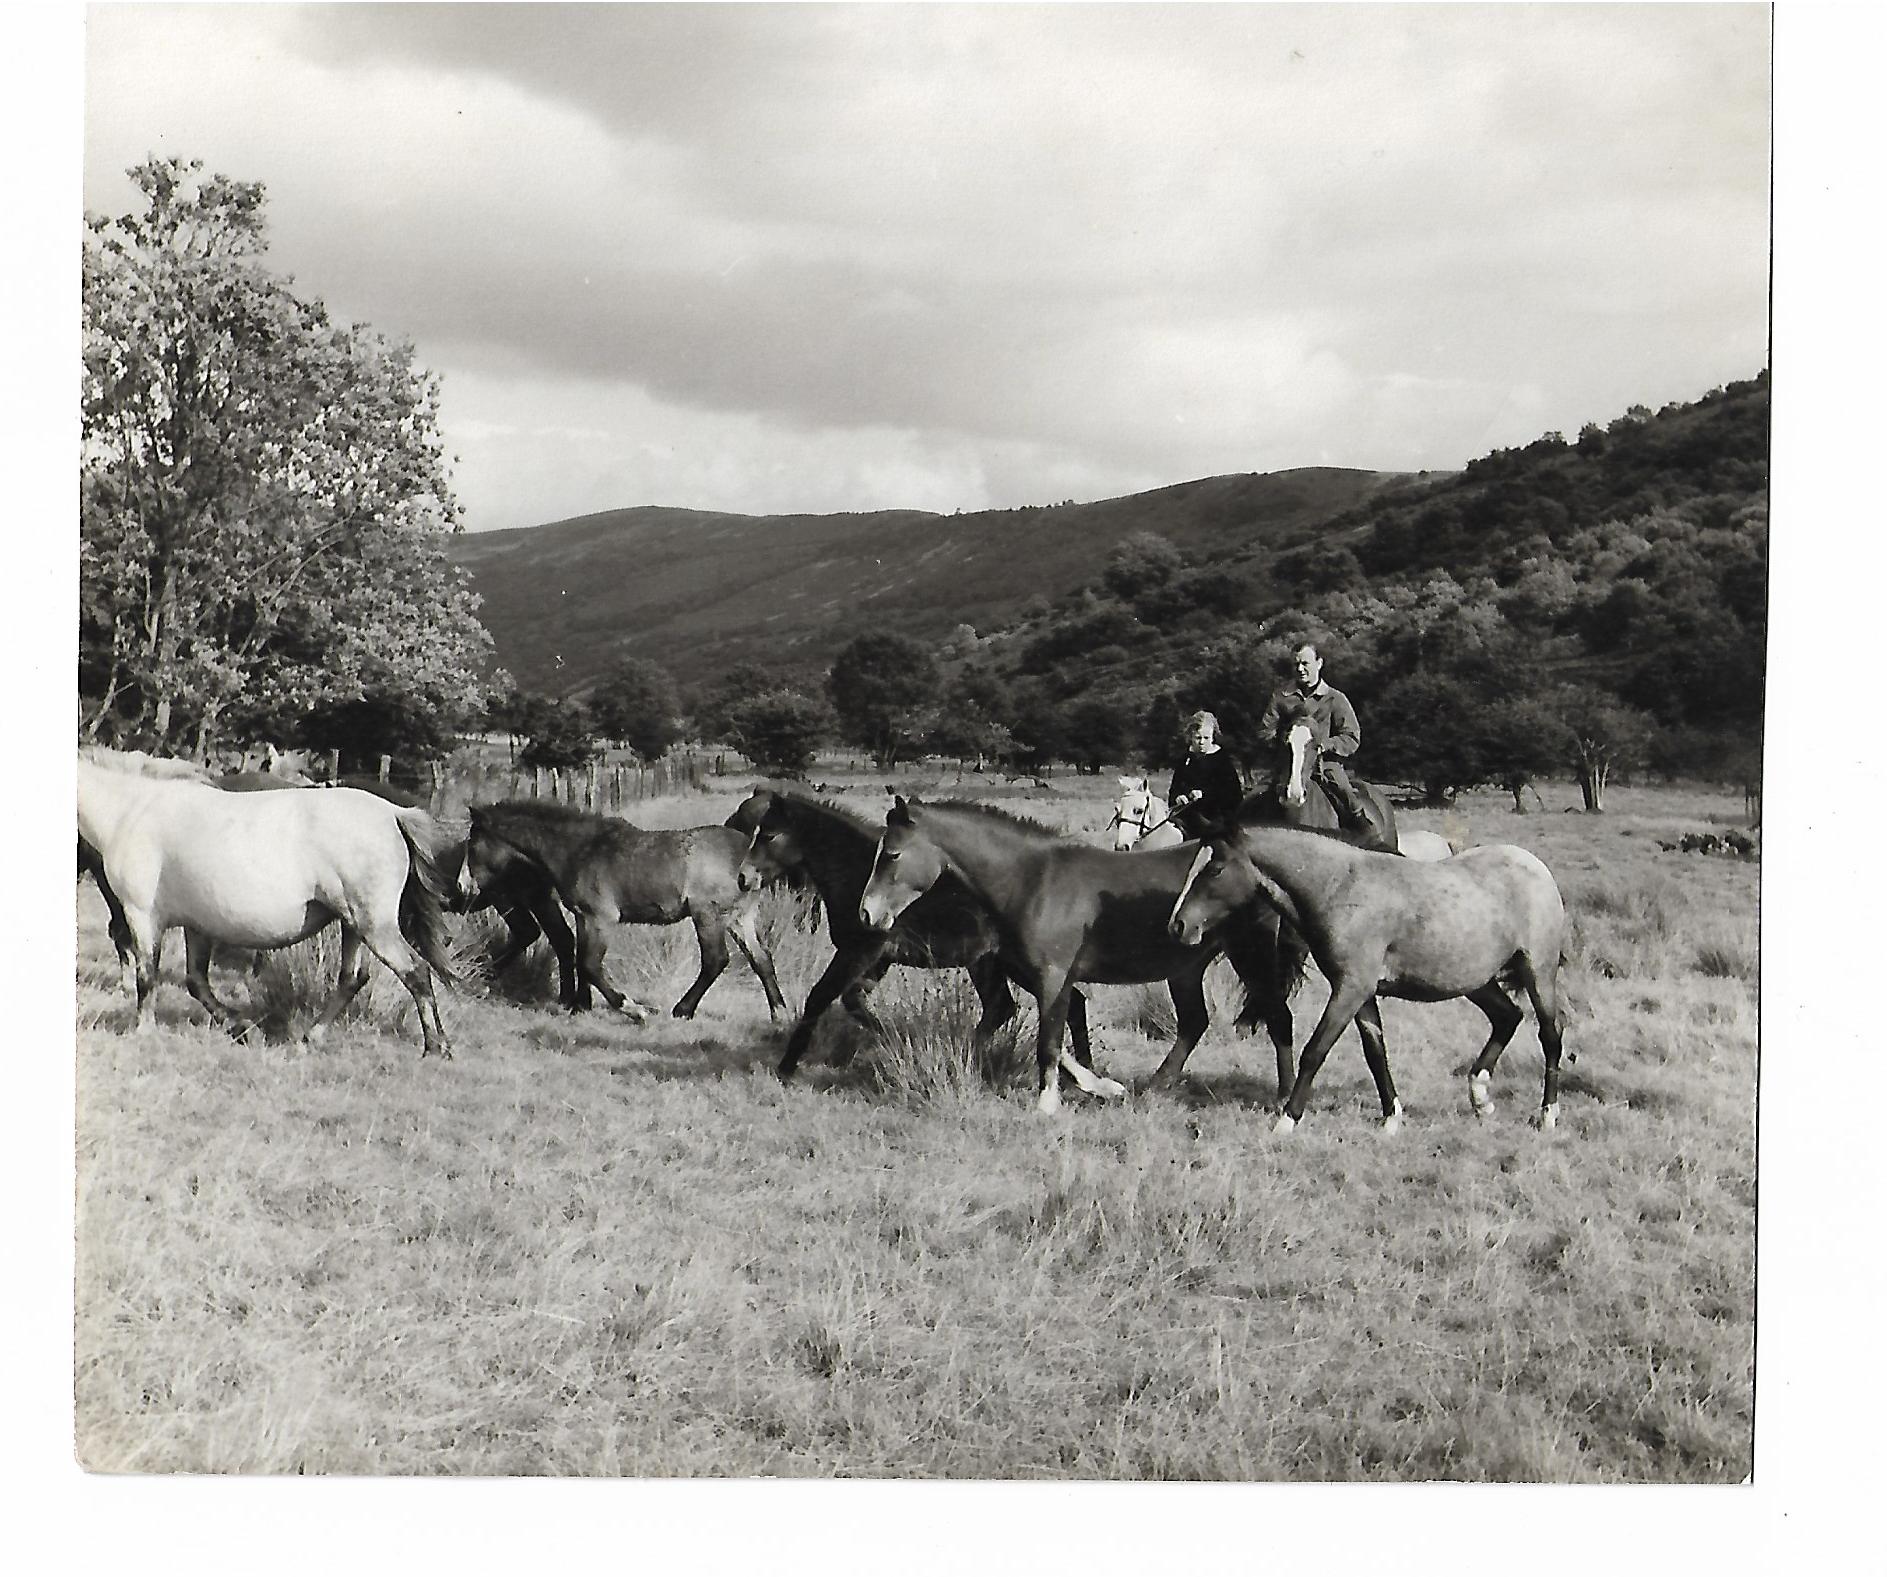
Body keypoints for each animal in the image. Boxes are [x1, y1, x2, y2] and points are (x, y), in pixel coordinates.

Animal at [74, 750, 460, 1056]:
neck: (132, 810)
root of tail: (393, 813)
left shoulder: (142, 915)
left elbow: (147, 976)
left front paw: (143, 1032)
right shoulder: (196, 924)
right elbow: (196, 981)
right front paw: (242, 1028)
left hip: (373, 925)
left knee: (416, 972)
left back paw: (436, 1047)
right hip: (353, 924)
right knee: (353, 979)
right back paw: (310, 1037)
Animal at [460, 799, 784, 1026]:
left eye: (472, 846)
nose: (463, 886)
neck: (581, 850)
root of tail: (749, 859)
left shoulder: (600, 918)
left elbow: (590, 965)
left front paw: (632, 1009)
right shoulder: (584, 917)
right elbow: (581, 959)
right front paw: (580, 1006)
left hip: (707, 915)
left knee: (716, 960)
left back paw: (682, 1010)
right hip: (739, 919)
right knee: (762, 959)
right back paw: (779, 1013)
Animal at [724, 788, 1102, 1086]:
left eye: (768, 835)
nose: (743, 878)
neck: (856, 870)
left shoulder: (860, 950)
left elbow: (821, 997)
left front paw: (786, 1067)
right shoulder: (877, 958)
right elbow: (853, 1000)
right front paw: (895, 1039)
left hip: (1007, 964)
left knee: (1035, 1006)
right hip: (994, 964)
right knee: (1035, 1005)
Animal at [860, 796, 1290, 1116]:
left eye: (892, 854)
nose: (867, 914)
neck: (1033, 882)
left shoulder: (1052, 977)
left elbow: (1049, 1042)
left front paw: (1047, 1105)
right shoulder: (1041, 977)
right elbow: (1060, 1040)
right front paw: (1103, 1087)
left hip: (1250, 956)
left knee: (1278, 1018)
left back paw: (1285, 1099)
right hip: (1186, 968)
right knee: (1194, 1023)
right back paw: (1154, 1089)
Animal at [1169, 826, 1569, 1131]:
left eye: (1215, 868)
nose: (1179, 925)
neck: (1341, 888)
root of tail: (1533, 864)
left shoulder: (1351, 988)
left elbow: (1315, 1051)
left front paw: (1287, 1120)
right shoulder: (1361, 992)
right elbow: (1375, 1052)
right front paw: (1391, 1119)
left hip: (1538, 971)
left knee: (1550, 1034)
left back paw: (1547, 1114)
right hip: (1475, 981)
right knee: (1508, 1017)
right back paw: (1480, 1099)